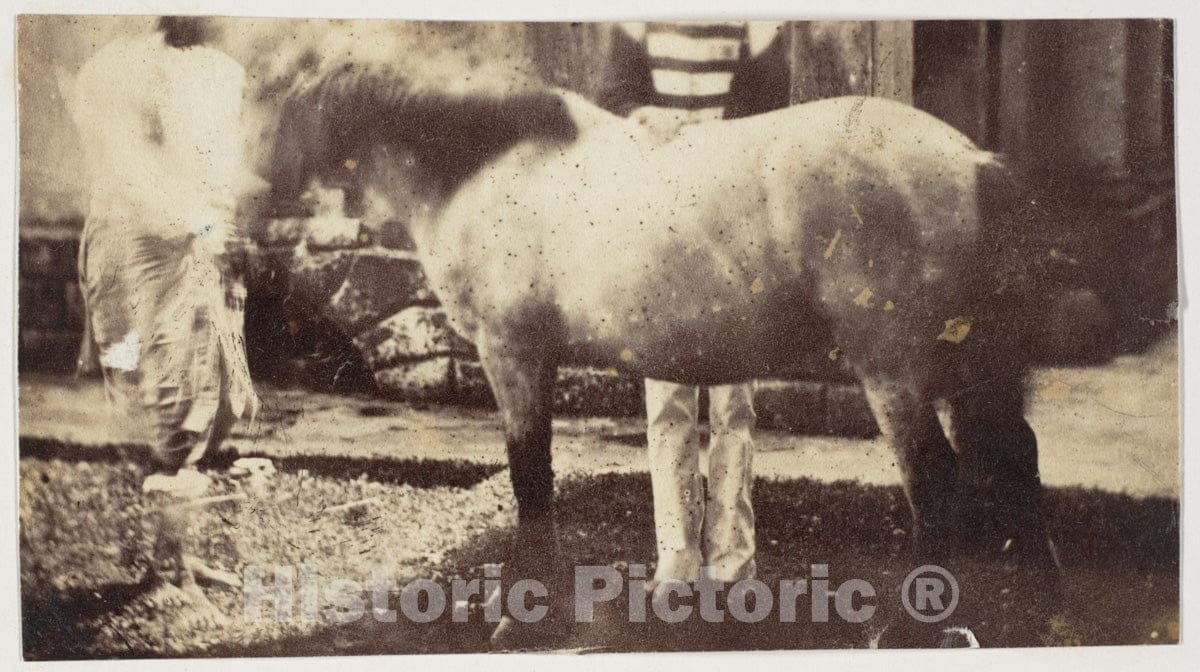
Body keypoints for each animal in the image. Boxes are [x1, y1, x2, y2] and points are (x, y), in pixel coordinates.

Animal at [264, 60, 1059, 643]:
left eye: (271, 106)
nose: (256, 213)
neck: (486, 168)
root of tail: (975, 160)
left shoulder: (512, 354)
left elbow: (530, 479)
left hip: (896, 375)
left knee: (937, 486)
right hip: (973, 373)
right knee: (1016, 462)